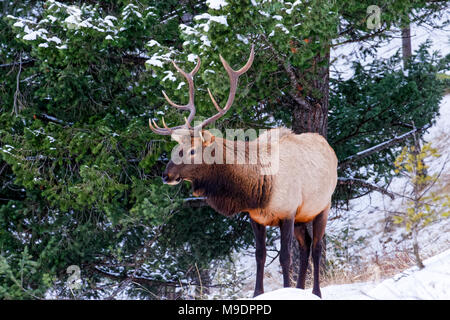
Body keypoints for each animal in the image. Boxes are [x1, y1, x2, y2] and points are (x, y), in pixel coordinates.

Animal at [149, 45, 338, 298]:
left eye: (192, 150)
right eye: (175, 147)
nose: (166, 175)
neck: (259, 186)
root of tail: (330, 148)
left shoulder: (287, 212)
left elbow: (285, 258)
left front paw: (285, 290)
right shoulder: (256, 216)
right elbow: (260, 256)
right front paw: (258, 293)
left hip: (322, 205)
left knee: (316, 247)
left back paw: (315, 292)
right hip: (302, 216)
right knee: (306, 245)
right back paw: (301, 289)